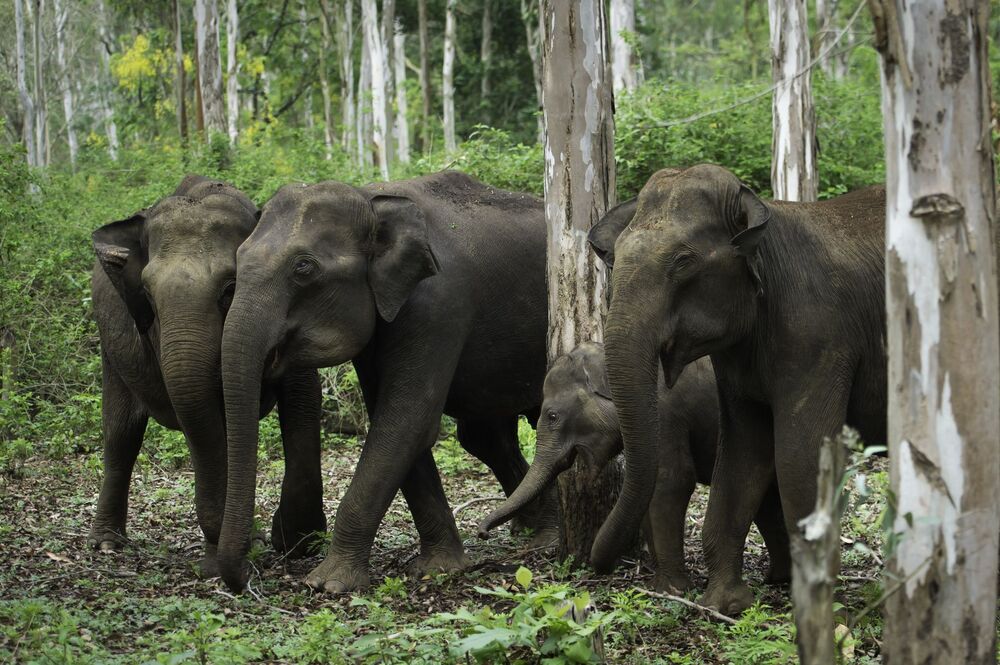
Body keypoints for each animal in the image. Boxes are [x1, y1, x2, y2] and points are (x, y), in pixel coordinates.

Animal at [88, 175, 326, 575]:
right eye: (147, 295)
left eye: (230, 287)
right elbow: (206, 425)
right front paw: (223, 558)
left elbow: (302, 400)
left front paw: (298, 540)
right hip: (110, 348)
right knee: (121, 432)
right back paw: (106, 544)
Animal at [216, 171, 558, 593]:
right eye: (239, 259)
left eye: (304, 268)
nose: (248, 573)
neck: (371, 200)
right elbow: (394, 420)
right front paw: (440, 569)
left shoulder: (439, 304)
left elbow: (407, 419)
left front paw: (328, 583)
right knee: (485, 435)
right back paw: (524, 529)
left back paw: (545, 541)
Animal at [477, 341, 791, 593]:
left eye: (552, 415)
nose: (482, 532)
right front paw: (656, 577)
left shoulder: (665, 415)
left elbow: (670, 481)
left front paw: (670, 589)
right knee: (767, 500)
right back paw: (776, 580)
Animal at [586, 164, 886, 615]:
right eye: (615, 257)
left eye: (683, 261)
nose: (597, 567)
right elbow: (742, 454)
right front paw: (727, 603)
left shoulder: (819, 337)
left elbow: (800, 457)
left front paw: (816, 609)